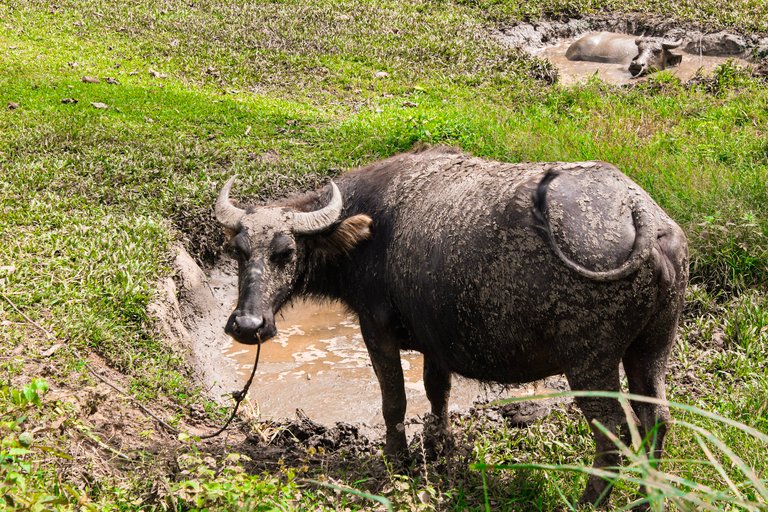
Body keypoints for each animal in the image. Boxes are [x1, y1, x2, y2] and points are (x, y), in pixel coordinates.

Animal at [216, 146, 688, 506]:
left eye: (286, 252)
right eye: (239, 251)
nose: (248, 325)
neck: (369, 233)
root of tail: (640, 213)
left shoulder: (376, 329)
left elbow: (394, 402)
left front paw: (397, 459)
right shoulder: (436, 342)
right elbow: (435, 392)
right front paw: (440, 447)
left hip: (590, 362)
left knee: (616, 434)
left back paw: (590, 500)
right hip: (653, 346)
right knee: (657, 418)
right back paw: (648, 498)